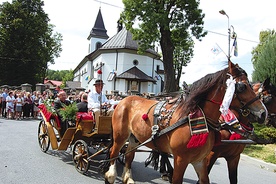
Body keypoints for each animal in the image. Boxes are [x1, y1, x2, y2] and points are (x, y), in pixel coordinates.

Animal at [104, 61, 268, 183]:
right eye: (242, 86)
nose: (263, 113)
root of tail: (124, 100)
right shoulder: (181, 160)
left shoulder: (200, 160)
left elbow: (205, 180)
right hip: (120, 136)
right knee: (113, 153)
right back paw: (110, 175)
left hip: (135, 138)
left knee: (129, 156)